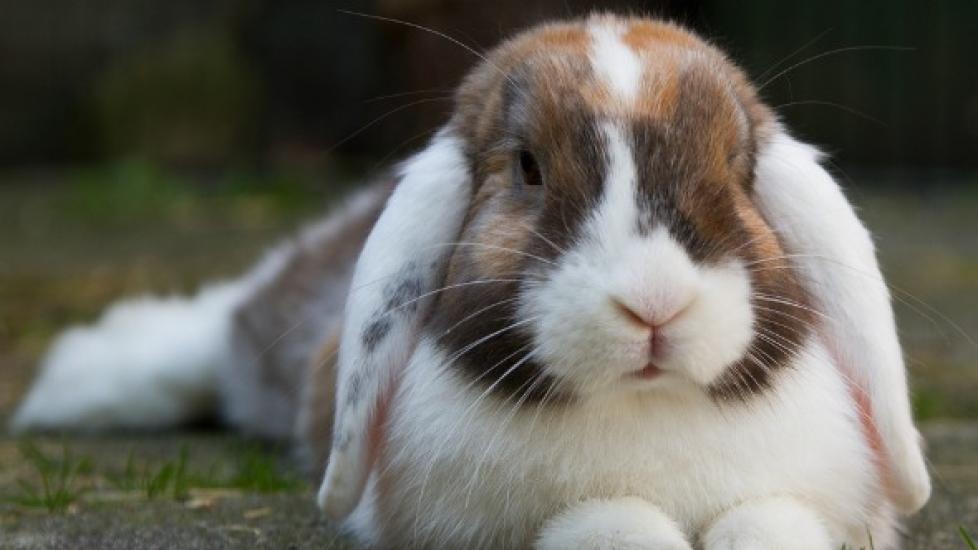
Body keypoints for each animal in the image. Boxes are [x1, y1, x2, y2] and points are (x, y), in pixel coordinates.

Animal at [11, 13, 930, 550]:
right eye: (527, 167)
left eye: (735, 169)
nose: (654, 304)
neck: (645, 407)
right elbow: (617, 526)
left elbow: (769, 525)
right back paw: (86, 380)